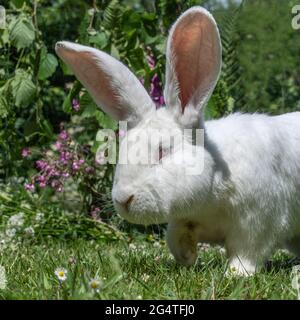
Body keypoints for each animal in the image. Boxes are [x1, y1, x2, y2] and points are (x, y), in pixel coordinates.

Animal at [55, 6, 300, 276]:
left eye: (163, 151)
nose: (123, 199)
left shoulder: (255, 222)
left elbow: (245, 253)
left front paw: (235, 275)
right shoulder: (183, 220)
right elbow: (174, 238)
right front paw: (187, 257)